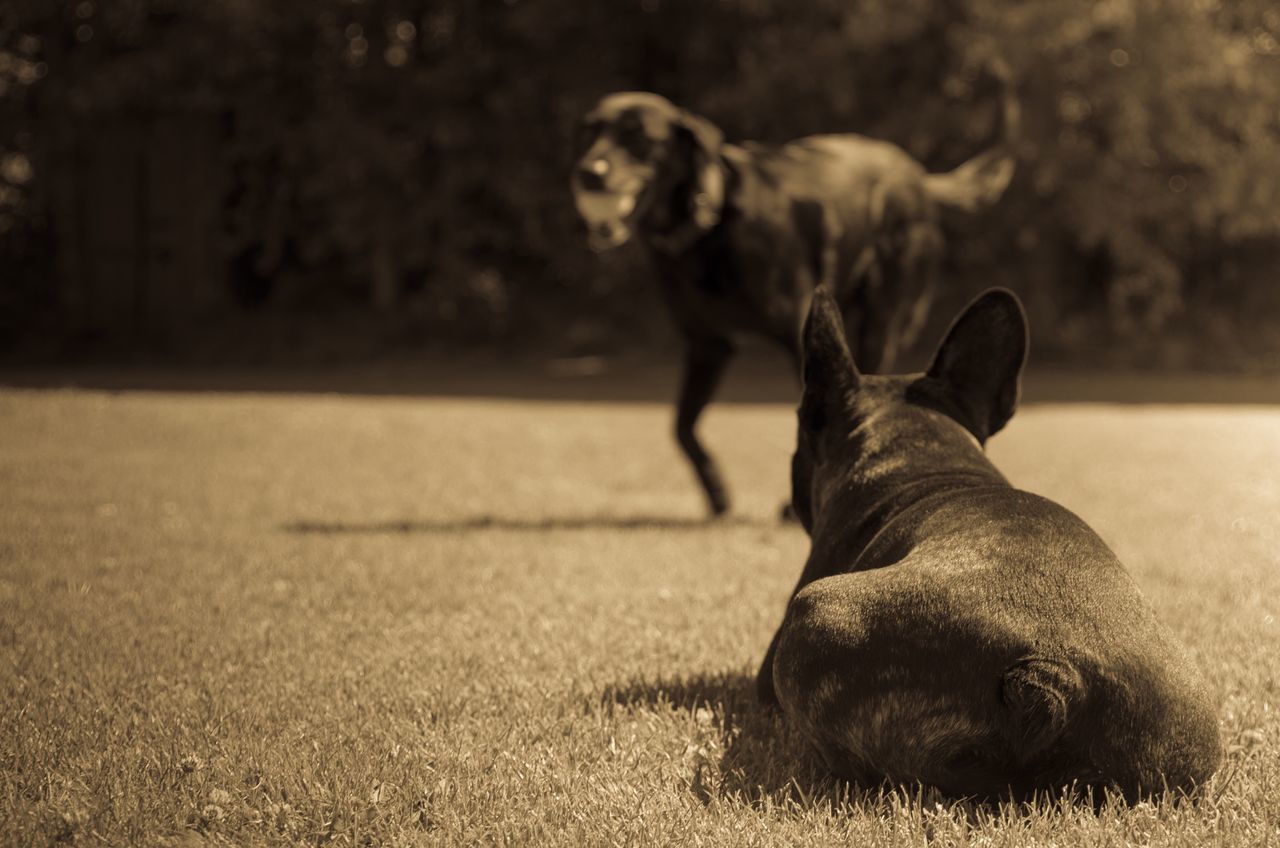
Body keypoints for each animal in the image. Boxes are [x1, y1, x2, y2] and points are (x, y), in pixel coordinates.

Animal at [576, 76, 1013, 517]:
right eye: (589, 131)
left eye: (638, 136)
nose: (588, 173)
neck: (709, 229)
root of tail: (917, 174)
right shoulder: (707, 343)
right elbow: (682, 427)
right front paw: (717, 492)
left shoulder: (793, 333)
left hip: (883, 319)